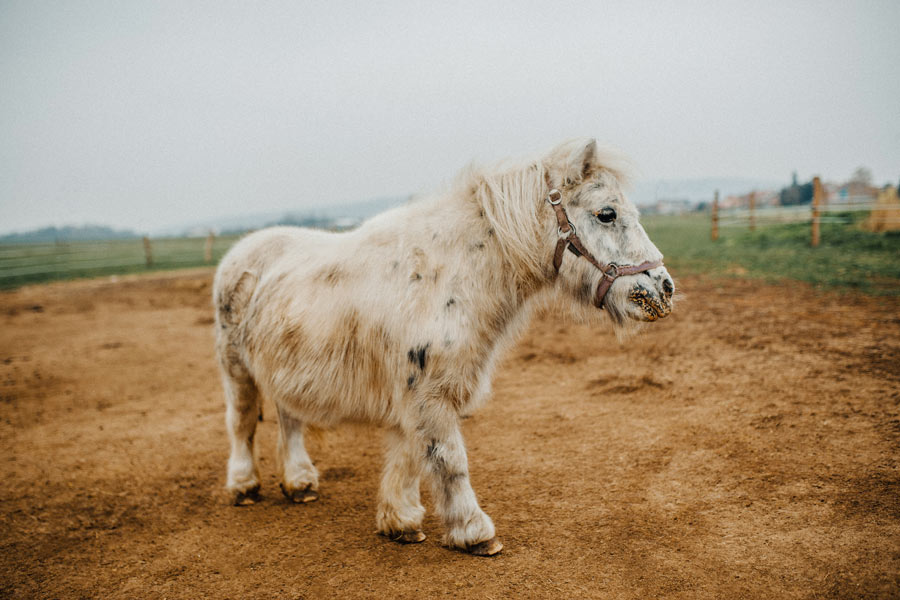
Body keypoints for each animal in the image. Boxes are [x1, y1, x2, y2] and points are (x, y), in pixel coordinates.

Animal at [213, 138, 676, 556]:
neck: (449, 274)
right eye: (606, 214)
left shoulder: (415, 394)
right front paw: (474, 532)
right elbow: (449, 460)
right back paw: (244, 486)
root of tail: (240, 252)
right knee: (241, 423)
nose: (664, 289)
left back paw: (299, 482)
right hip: (236, 371)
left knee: (289, 418)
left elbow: (410, 453)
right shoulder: (427, 392)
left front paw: (400, 521)